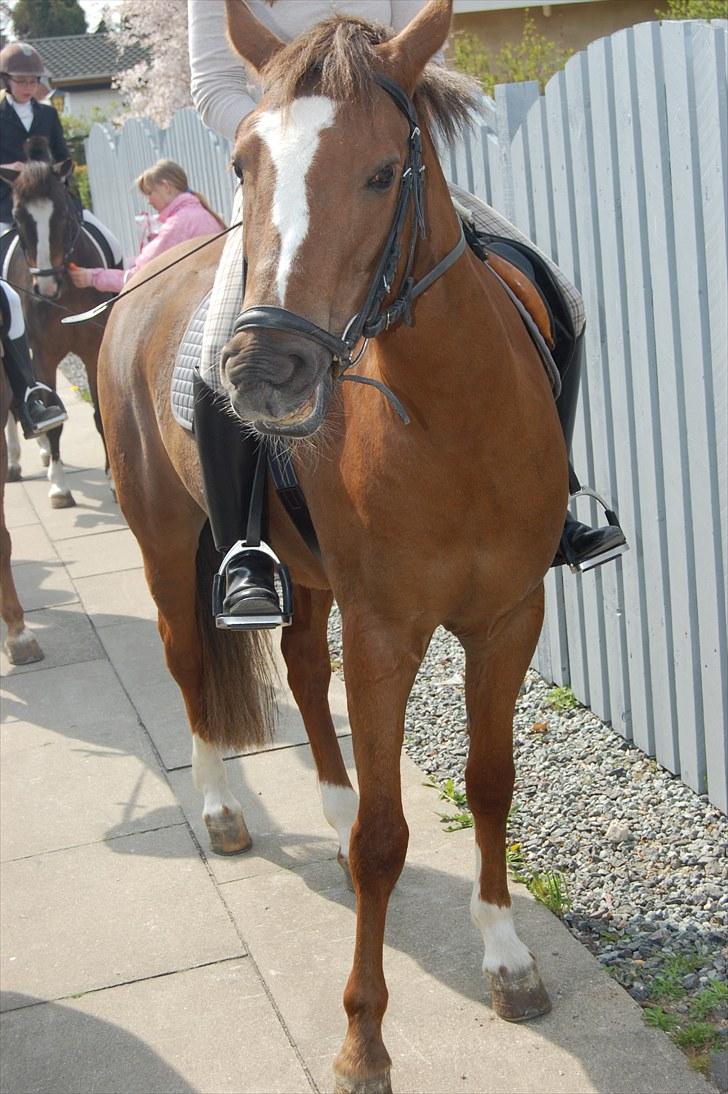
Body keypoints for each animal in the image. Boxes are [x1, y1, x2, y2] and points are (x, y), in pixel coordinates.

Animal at [0, 138, 107, 505]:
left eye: (61, 212)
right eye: (18, 217)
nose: (45, 288)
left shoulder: (93, 350)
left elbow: (100, 412)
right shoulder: (43, 354)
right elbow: (54, 418)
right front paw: (59, 487)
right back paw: (18, 461)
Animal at [97, 4, 569, 1089]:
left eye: (384, 172)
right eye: (242, 162)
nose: (265, 368)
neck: (450, 420)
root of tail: (139, 289)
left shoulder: (507, 617)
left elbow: (490, 783)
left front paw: (507, 955)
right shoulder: (386, 631)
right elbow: (387, 837)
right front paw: (362, 1038)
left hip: (304, 575)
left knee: (305, 663)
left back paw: (325, 798)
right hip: (166, 545)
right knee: (190, 661)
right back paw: (223, 809)